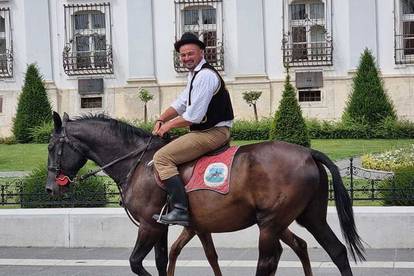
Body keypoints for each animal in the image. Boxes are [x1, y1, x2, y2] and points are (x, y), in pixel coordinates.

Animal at [46, 112, 366, 276]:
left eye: (51, 147)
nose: (50, 187)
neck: (138, 162)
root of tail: (308, 152)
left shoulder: (149, 226)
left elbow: (136, 262)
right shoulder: (165, 227)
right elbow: (165, 260)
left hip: (271, 223)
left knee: (269, 260)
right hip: (309, 216)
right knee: (336, 250)